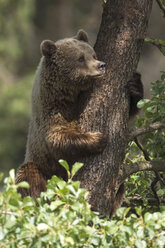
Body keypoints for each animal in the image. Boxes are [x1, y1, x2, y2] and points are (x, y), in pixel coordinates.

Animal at [15, 30, 107, 199]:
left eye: (93, 54)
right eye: (80, 58)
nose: (101, 65)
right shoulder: (51, 110)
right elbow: (57, 137)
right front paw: (98, 138)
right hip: (40, 167)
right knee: (29, 177)